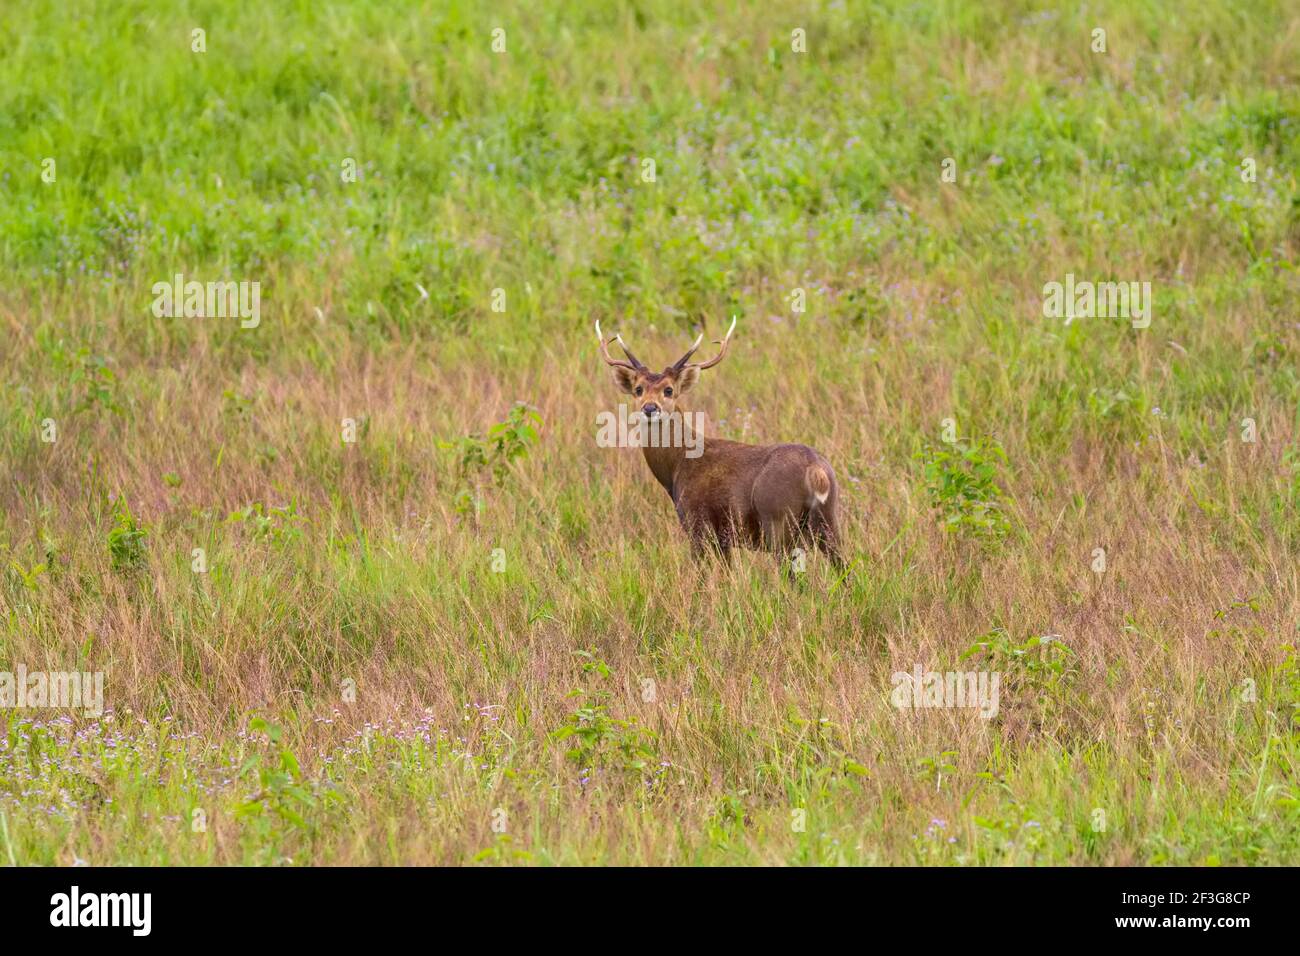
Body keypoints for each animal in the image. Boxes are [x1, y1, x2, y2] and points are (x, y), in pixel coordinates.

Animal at [595, 317, 842, 572]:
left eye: (669, 390)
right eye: (638, 389)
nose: (650, 408)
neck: (677, 467)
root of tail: (816, 470)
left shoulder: (698, 522)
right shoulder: (724, 537)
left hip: (778, 518)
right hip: (830, 519)